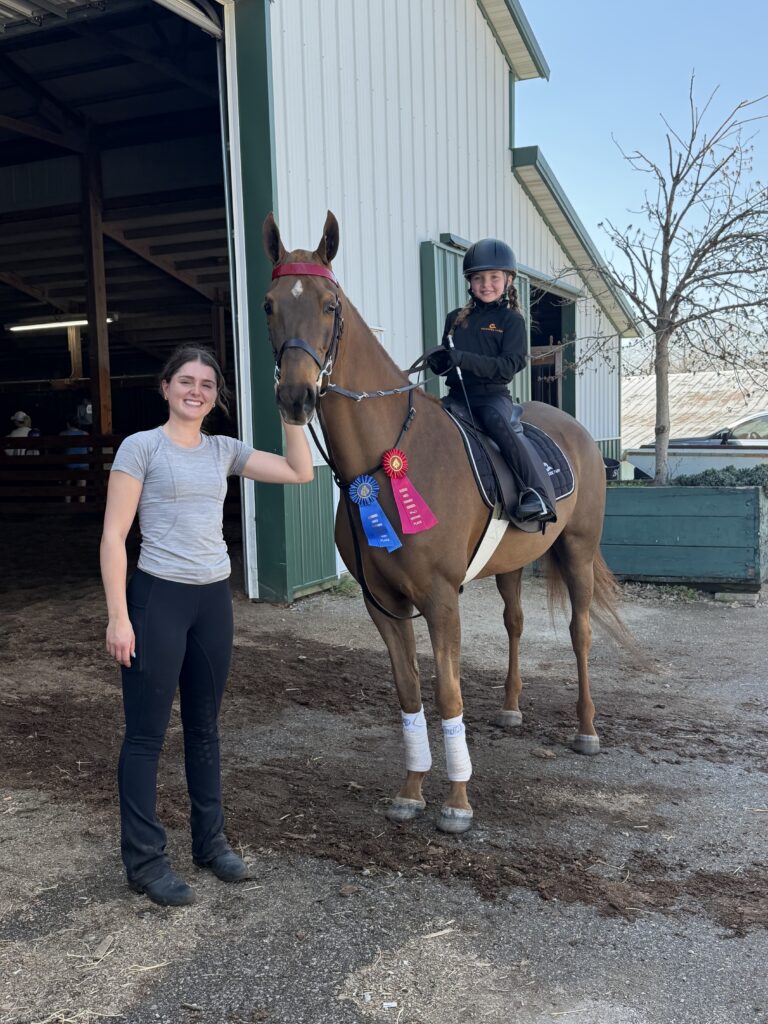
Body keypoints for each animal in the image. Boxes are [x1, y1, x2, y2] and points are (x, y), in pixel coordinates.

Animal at [262, 210, 629, 834]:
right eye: (268, 304)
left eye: (329, 305)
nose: (296, 396)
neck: (384, 459)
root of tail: (576, 432)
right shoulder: (383, 602)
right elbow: (410, 692)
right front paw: (411, 791)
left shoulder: (439, 598)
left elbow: (447, 693)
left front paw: (457, 802)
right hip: (511, 565)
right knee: (514, 624)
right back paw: (510, 709)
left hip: (578, 551)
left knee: (579, 633)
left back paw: (587, 730)